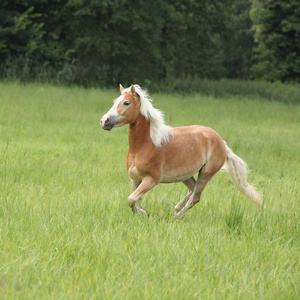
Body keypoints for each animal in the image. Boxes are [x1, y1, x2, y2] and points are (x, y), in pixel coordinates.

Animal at [99, 84, 262, 218]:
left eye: (126, 103)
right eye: (115, 101)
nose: (104, 121)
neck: (146, 145)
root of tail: (221, 141)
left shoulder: (151, 179)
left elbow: (131, 199)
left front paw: (144, 214)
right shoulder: (135, 179)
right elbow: (135, 199)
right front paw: (142, 213)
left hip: (206, 173)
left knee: (196, 197)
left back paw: (177, 217)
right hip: (186, 175)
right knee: (192, 189)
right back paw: (177, 208)